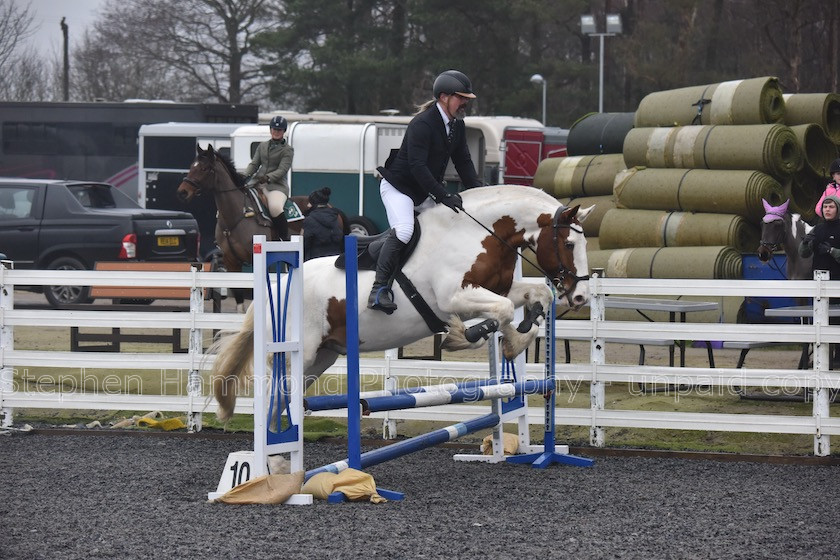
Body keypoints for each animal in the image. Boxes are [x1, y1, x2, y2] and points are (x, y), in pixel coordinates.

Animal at [177, 144, 282, 310]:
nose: (182, 192)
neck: (235, 217)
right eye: (191, 166)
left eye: (204, 168)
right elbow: (238, 294)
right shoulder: (231, 261)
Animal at [210, 185, 592, 420]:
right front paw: (464, 336)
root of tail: (276, 286)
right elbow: (499, 311)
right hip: (298, 352)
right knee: (276, 394)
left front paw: (518, 337)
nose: (580, 296)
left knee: (284, 397)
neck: (477, 234)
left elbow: (536, 296)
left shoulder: (499, 287)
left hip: (322, 356)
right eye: (569, 244)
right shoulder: (455, 296)